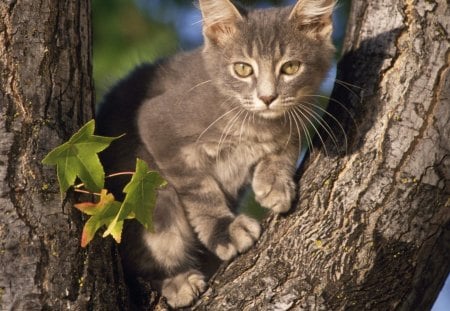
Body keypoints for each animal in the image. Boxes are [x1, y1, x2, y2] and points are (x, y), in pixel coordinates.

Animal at [94, 0, 334, 308]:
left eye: (291, 67)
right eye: (243, 69)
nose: (267, 97)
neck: (254, 122)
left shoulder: (297, 117)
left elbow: (285, 145)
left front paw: (274, 182)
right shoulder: (156, 124)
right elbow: (200, 191)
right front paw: (224, 229)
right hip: (145, 187)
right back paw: (175, 281)